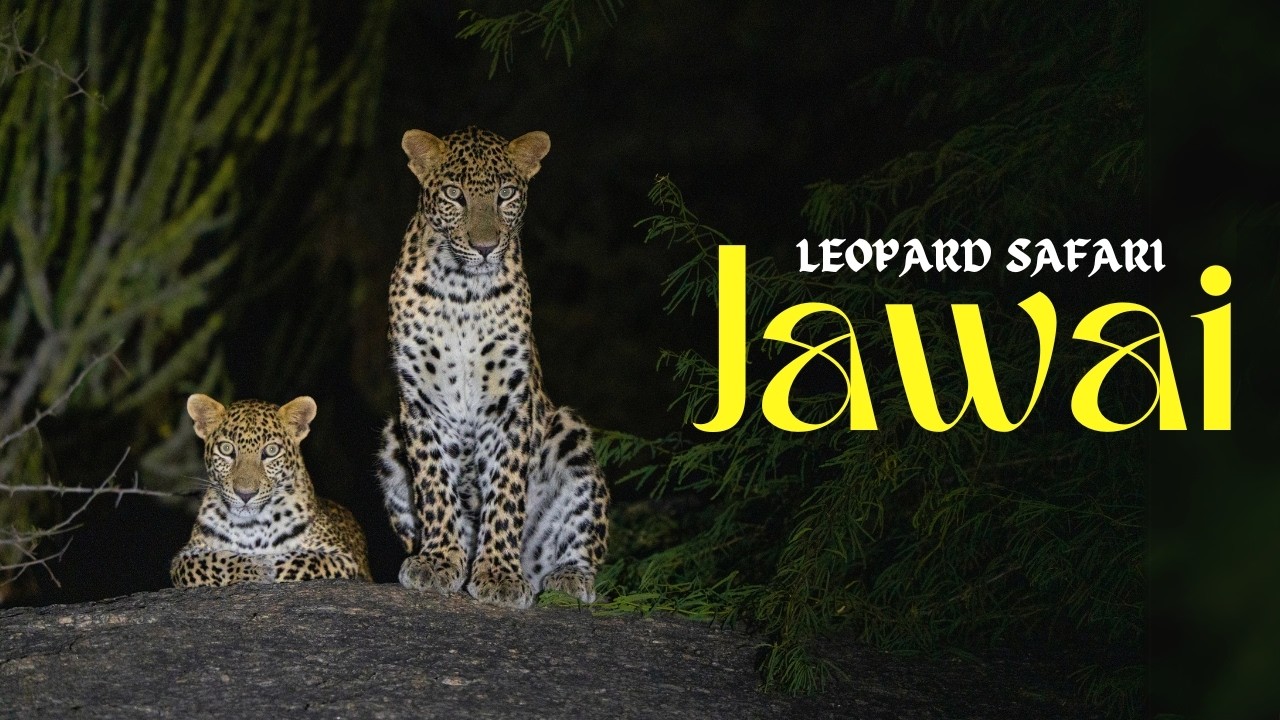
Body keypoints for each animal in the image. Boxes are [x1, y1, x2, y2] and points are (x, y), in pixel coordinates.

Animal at [172, 394, 372, 587]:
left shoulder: (343, 558)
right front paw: (254, 567)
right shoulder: (183, 558)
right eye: (226, 449)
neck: (251, 527)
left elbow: (300, 560)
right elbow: (213, 561)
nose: (245, 494)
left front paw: (266, 565)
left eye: (272, 450)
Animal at [376, 126, 609, 609]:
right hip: (391, 440)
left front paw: (499, 574)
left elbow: (504, 492)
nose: (484, 248)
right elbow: (434, 484)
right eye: (454, 194)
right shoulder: (421, 402)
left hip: (570, 433)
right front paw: (439, 560)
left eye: (506, 195)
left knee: (583, 541)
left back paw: (566, 578)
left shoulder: (511, 403)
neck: (462, 290)